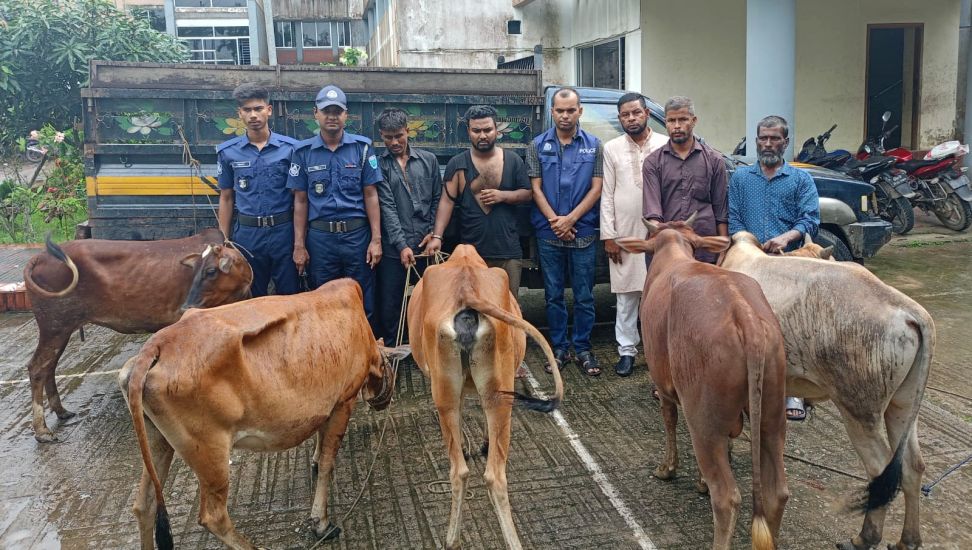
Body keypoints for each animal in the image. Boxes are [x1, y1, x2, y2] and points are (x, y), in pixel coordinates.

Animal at [23, 230, 252, 444]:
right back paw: (42, 430)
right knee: (37, 368)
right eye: (199, 271)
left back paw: (61, 411)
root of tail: (40, 256)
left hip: (60, 330)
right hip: (54, 326)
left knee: (49, 367)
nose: (186, 306)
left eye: (211, 271)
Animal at [119, 280, 408, 550]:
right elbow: (328, 464)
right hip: (210, 454)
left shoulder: (327, 404)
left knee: (144, 505)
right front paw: (321, 523)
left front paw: (314, 459)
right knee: (213, 516)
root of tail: (156, 346)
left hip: (159, 441)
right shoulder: (344, 401)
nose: (387, 398)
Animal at [406, 247, 564, 550]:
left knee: (467, 472)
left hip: (446, 394)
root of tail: (467, 290)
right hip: (496, 394)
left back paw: (453, 539)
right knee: (485, 473)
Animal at [624, 217, 788, 550]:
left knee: (726, 497)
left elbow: (670, 422)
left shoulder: (665, 387)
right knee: (777, 492)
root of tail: (744, 314)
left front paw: (668, 469)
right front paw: (700, 479)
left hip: (704, 417)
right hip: (772, 411)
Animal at [720, 232, 936, 550]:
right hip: (903, 406)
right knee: (912, 466)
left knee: (880, 469)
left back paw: (865, 537)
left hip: (858, 410)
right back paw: (907, 540)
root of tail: (912, 312)